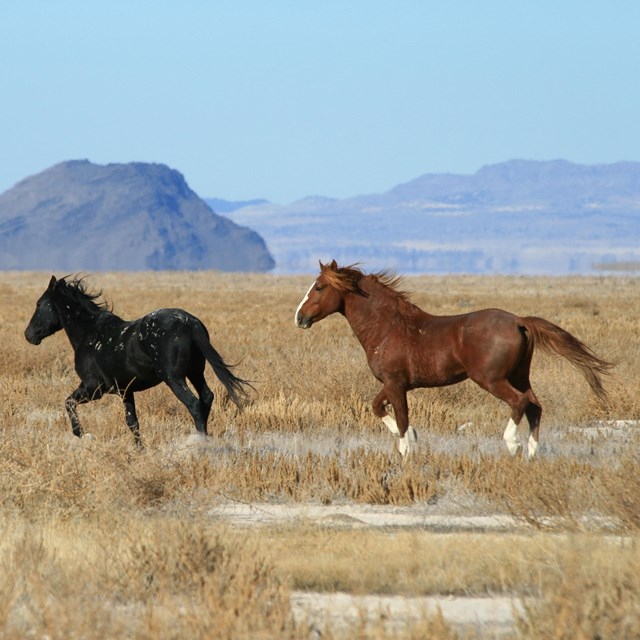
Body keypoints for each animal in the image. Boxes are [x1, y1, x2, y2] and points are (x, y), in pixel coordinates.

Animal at [25, 274, 251, 444]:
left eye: (39, 304)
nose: (28, 335)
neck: (90, 333)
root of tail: (189, 322)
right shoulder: (126, 391)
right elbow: (132, 422)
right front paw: (139, 450)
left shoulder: (93, 387)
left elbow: (69, 402)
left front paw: (83, 434)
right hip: (195, 372)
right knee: (206, 397)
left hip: (174, 378)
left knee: (194, 405)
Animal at [292, 262, 612, 458]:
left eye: (319, 287)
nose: (299, 317)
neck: (388, 327)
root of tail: (519, 321)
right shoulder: (393, 384)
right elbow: (377, 407)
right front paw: (413, 437)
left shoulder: (396, 385)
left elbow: (401, 420)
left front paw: (407, 451)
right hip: (520, 375)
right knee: (535, 407)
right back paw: (532, 454)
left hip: (492, 379)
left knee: (519, 403)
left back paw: (513, 445)